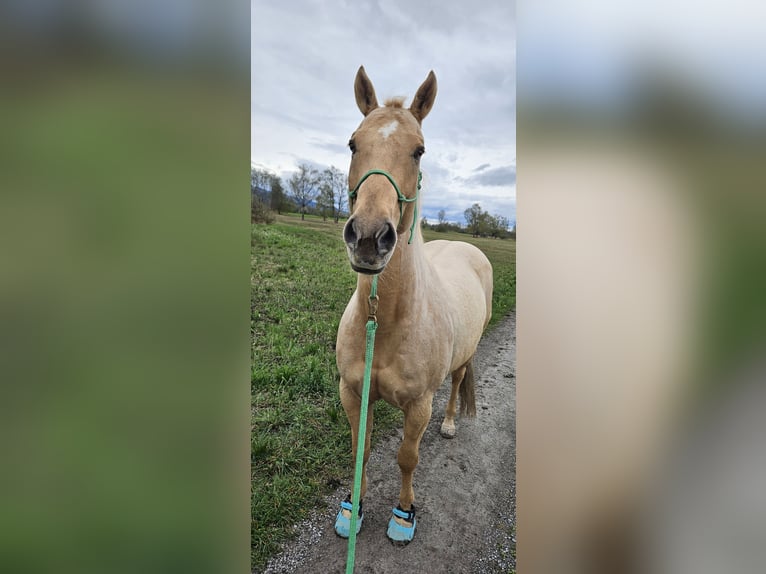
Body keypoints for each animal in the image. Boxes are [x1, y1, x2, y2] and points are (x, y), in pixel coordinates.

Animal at [334, 67, 492, 544]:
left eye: (419, 151)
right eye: (353, 143)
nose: (369, 237)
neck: (384, 322)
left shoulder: (419, 404)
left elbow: (407, 457)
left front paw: (404, 515)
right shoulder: (353, 392)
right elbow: (361, 448)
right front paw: (353, 508)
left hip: (463, 359)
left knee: (457, 384)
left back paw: (451, 422)